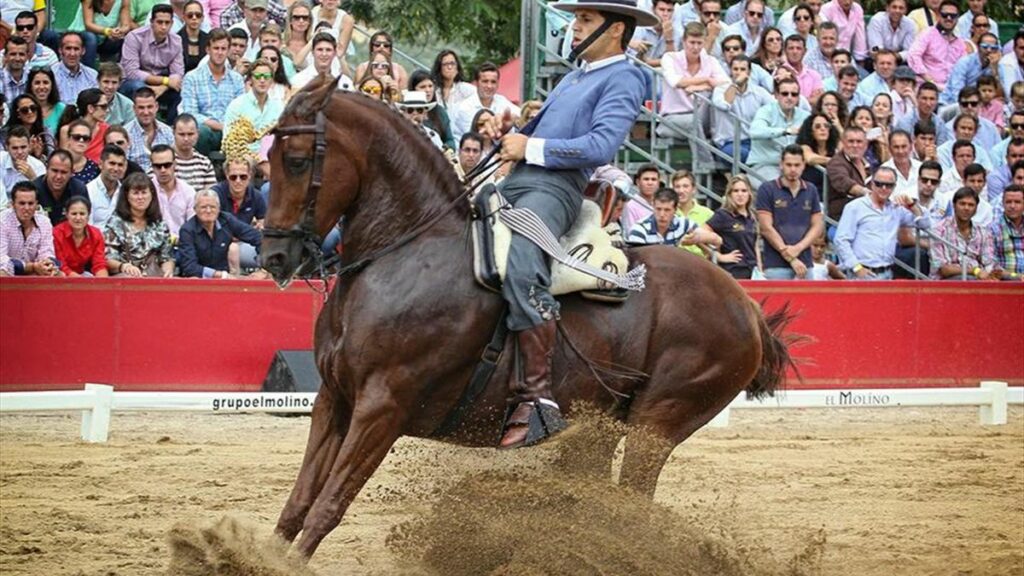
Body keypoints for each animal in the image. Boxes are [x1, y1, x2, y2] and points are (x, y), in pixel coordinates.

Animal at [258, 78, 798, 557]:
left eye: (297, 160)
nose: (275, 256)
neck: (411, 253)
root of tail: (745, 307)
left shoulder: (382, 408)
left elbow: (328, 505)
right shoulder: (335, 399)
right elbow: (299, 501)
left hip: (657, 423)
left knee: (633, 503)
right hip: (601, 424)